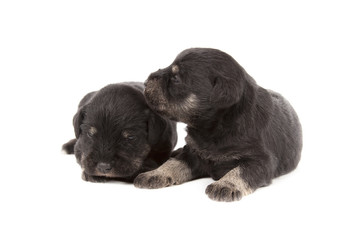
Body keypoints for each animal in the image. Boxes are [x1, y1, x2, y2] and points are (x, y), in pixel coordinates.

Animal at [134, 47, 302, 202]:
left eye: (176, 78)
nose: (146, 82)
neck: (213, 129)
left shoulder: (261, 160)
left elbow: (241, 170)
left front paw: (225, 185)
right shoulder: (193, 153)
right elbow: (174, 163)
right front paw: (154, 173)